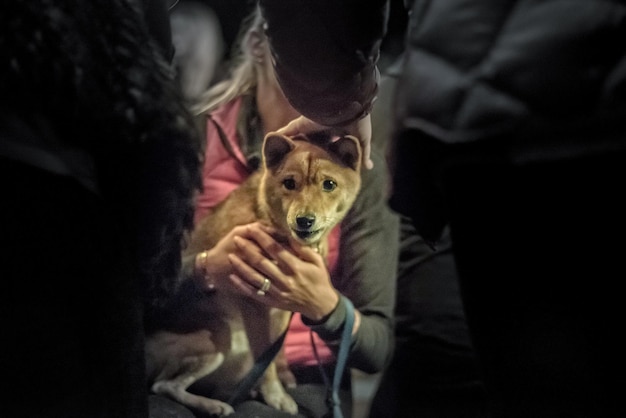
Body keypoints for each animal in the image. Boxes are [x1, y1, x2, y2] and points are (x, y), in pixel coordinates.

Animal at [144, 132, 360, 416]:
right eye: (289, 183)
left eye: (329, 184)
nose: (305, 221)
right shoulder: (253, 305)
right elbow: (264, 361)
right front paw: (275, 396)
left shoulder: (283, 308)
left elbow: (275, 353)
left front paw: (279, 380)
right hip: (218, 339)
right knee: (164, 386)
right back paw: (214, 405)